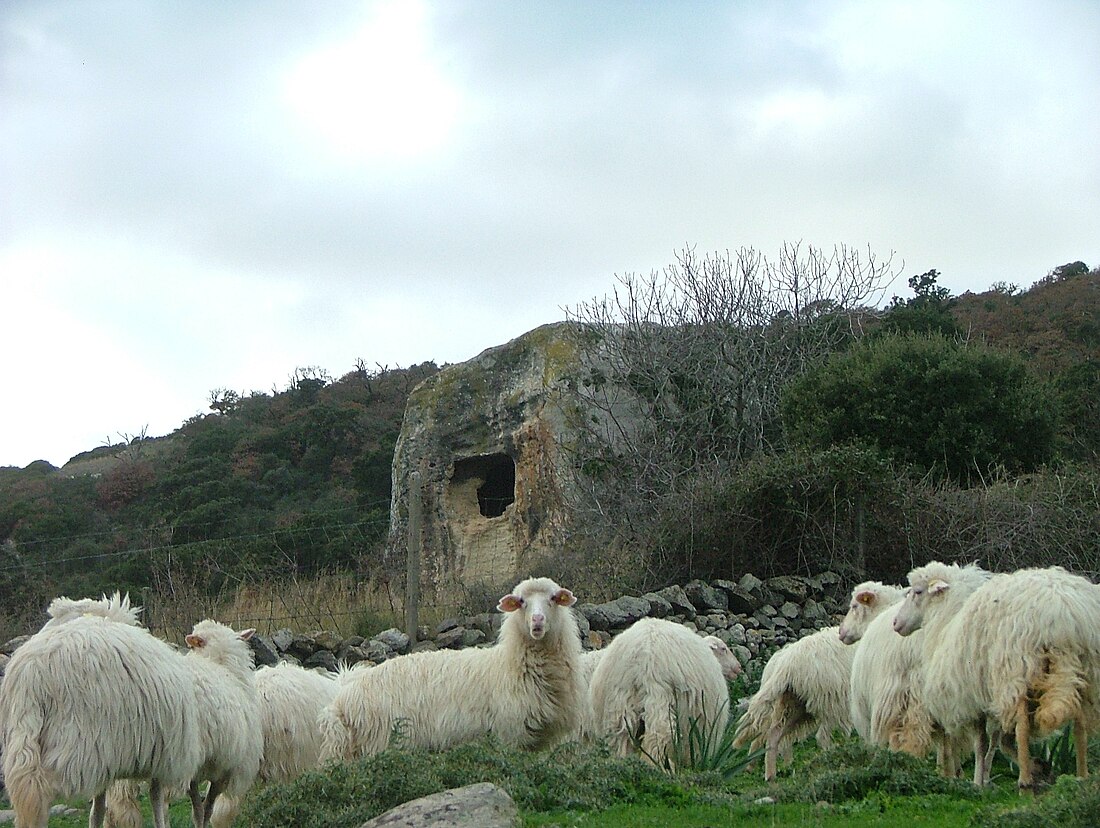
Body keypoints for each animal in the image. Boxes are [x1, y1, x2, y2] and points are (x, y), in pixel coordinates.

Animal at [0, 615, 202, 826]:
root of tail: (31, 675)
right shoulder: (163, 757)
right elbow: (157, 800)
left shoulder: (108, 761)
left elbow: (98, 808)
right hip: (76, 745)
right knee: (39, 791)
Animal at [319, 576, 585, 760]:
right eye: (521, 602)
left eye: (553, 598)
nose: (537, 621)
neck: (509, 664)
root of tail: (342, 700)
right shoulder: (510, 734)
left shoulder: (539, 741)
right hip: (383, 743)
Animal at [589, 615, 734, 765]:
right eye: (724, 649)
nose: (738, 668)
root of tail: (645, 660)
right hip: (662, 697)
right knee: (658, 737)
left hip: (620, 705)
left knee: (621, 741)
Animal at [739, 624, 858, 782]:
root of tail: (788, 663)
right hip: (831, 699)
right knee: (822, 736)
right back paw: (835, 757)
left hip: (794, 704)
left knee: (773, 735)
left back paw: (770, 775)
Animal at [888, 562, 1100, 787]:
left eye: (918, 592)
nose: (896, 623)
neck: (947, 618)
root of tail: (1063, 613)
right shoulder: (987, 700)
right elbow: (998, 742)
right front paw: (1038, 768)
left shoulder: (972, 700)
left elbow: (982, 744)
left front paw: (978, 782)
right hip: (1083, 669)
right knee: (1079, 723)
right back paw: (1081, 777)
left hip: (1016, 669)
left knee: (1022, 727)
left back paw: (1025, 783)